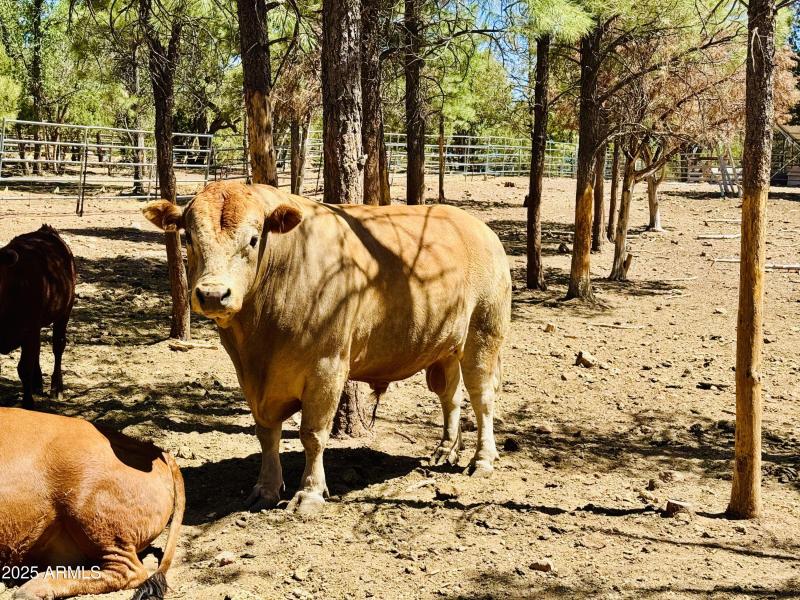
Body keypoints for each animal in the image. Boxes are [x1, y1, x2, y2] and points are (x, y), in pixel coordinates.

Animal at [0, 225, 76, 408]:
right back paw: (37, 383)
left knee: (58, 346)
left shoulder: (29, 330)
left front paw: (28, 404)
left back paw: (57, 388)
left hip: (64, 312)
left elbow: (24, 369)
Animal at [143, 181, 511, 515]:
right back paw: (447, 449)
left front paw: (309, 493)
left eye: (253, 239)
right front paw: (265, 488)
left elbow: (313, 434)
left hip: (483, 333)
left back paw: (482, 458)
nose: (212, 294)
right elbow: (266, 433)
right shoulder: (249, 375)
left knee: (482, 397)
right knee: (450, 395)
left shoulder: (327, 366)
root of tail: (479, 227)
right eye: (189, 237)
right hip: (445, 346)